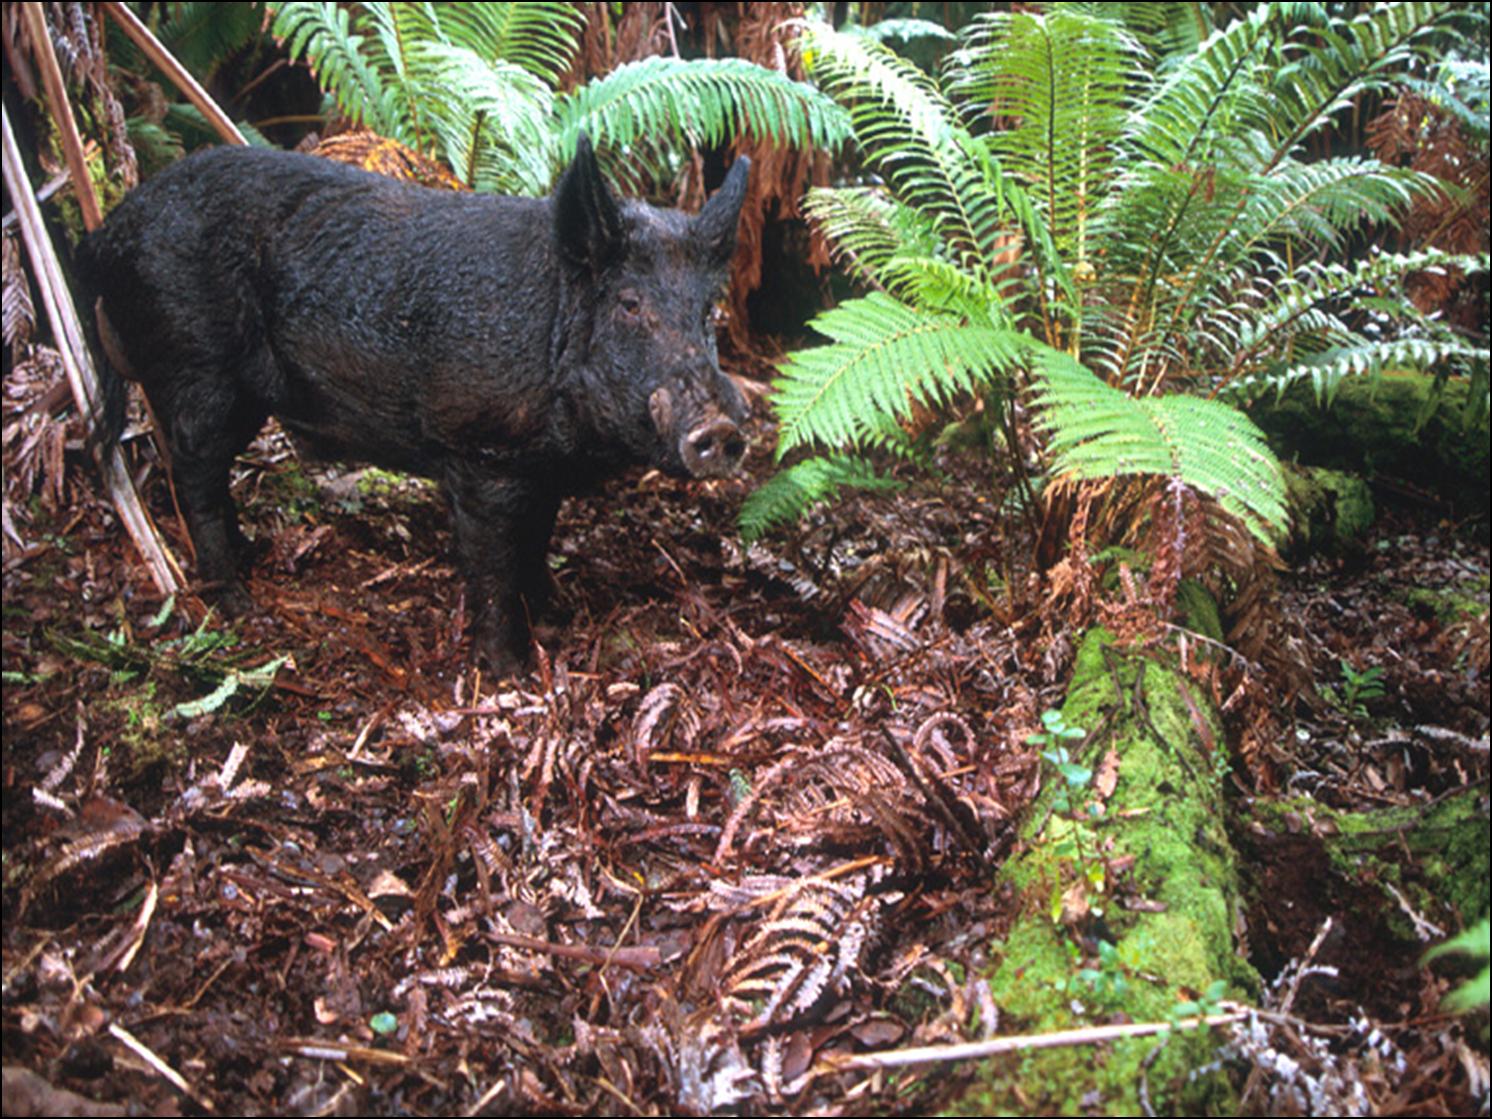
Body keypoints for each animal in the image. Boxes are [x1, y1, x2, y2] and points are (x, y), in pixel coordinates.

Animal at [79, 136, 750, 672]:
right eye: (630, 304)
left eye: (707, 312)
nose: (721, 428)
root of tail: (107, 231)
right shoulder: (481, 452)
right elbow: (494, 566)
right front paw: (510, 672)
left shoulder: (539, 468)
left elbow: (536, 540)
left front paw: (554, 618)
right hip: (195, 366)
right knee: (193, 471)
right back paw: (236, 602)